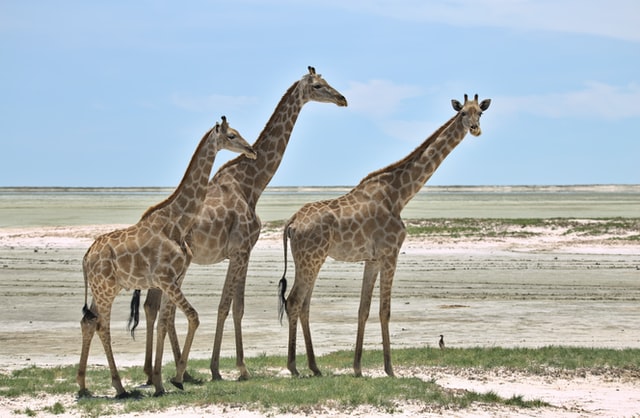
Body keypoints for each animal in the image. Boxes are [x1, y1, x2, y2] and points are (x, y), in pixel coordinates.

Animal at [79, 117, 258, 398]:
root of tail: (86, 258)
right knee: (102, 327)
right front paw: (176, 378)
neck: (177, 222)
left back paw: (83, 385)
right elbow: (192, 317)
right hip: (105, 289)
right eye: (231, 135)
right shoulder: (166, 279)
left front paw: (161, 382)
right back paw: (119, 387)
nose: (251, 150)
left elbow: (165, 322)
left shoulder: (169, 280)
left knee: (89, 322)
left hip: (104, 289)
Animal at [132, 66, 348, 382]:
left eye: (328, 81)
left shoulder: (245, 252)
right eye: (319, 86)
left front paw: (234, 367)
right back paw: (168, 372)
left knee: (152, 306)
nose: (342, 98)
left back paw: (160, 372)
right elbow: (226, 306)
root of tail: (142, 221)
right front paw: (224, 368)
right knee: (157, 307)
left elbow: (238, 307)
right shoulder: (240, 250)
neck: (252, 184)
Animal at [278, 93, 492, 378]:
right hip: (310, 258)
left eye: (480, 112)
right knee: (294, 301)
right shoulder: (391, 254)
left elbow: (363, 310)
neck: (399, 195)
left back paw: (315, 366)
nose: (476, 129)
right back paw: (293, 367)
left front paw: (357, 368)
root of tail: (291, 222)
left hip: (311, 259)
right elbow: (385, 311)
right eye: (462, 113)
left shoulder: (373, 259)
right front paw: (390, 369)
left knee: (304, 305)